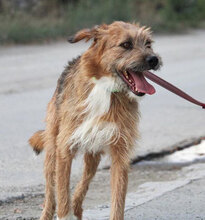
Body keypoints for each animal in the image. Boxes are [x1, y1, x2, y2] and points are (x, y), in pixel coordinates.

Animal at [29, 21, 162, 220]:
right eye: (126, 44)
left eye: (148, 44)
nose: (154, 59)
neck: (105, 88)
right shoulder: (64, 149)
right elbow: (62, 195)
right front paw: (65, 211)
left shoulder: (120, 153)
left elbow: (117, 201)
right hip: (52, 148)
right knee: (51, 191)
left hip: (93, 153)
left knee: (84, 181)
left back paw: (77, 206)